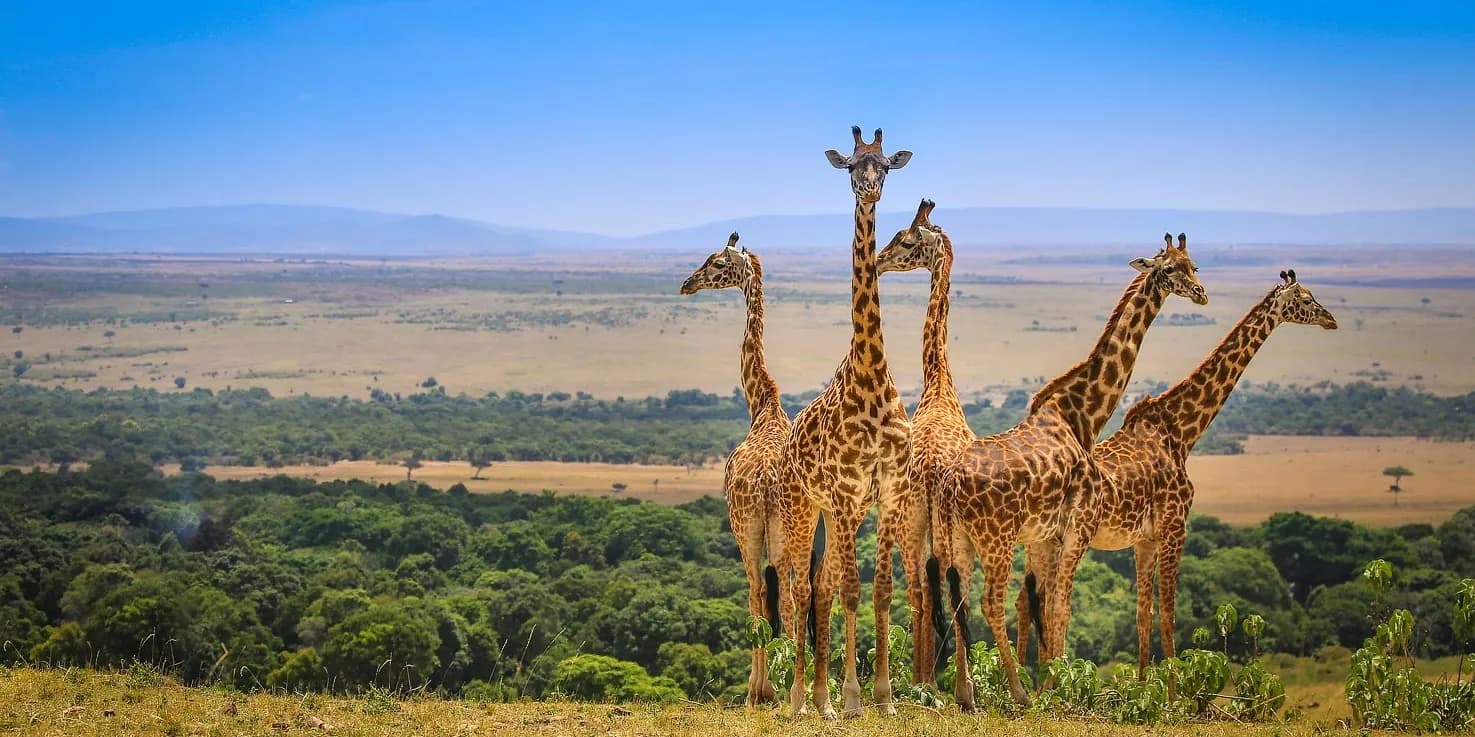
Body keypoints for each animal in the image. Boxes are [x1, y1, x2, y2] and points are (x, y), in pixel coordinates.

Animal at [679, 232, 800, 706]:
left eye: (715, 263)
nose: (687, 283)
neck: (762, 405)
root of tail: (766, 482)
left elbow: (756, 598)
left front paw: (759, 690)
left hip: (746, 527)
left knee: (759, 594)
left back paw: (763, 690)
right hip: (789, 530)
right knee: (791, 597)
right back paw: (798, 686)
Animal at [939, 233, 1208, 709]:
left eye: (1193, 264)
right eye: (1170, 269)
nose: (1201, 293)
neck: (1081, 415)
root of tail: (952, 484)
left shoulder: (1050, 535)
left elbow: (1047, 606)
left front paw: (1054, 681)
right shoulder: (1076, 528)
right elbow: (1060, 606)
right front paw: (1058, 688)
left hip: (960, 539)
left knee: (961, 601)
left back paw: (966, 696)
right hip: (997, 539)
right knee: (990, 602)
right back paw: (1018, 694)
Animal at [1015, 269, 1338, 679]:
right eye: (1307, 299)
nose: (1331, 319)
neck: (1182, 432)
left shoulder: (1145, 539)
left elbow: (1143, 615)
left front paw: (1141, 684)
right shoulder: (1176, 526)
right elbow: (1168, 615)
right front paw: (1172, 689)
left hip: (1040, 540)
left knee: (1027, 600)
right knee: (1045, 601)